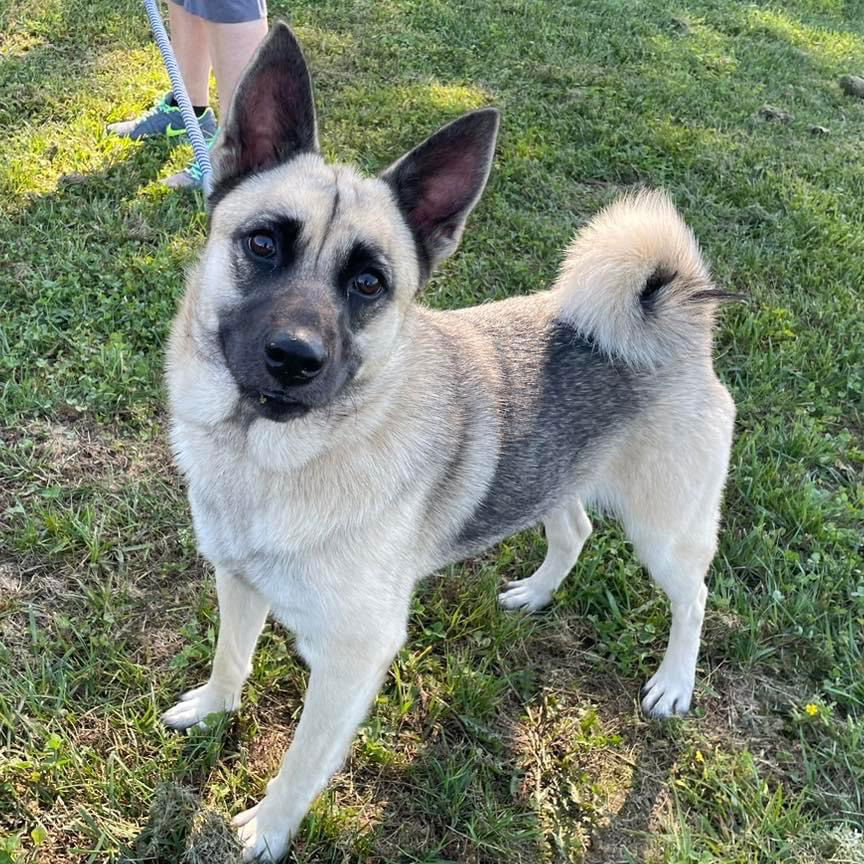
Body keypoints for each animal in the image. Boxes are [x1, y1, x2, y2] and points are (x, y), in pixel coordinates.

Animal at [160, 22, 736, 864]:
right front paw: (211, 709)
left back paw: (675, 683)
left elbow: (300, 763)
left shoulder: (349, 660)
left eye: (369, 284)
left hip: (665, 533)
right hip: (554, 478)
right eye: (262, 244)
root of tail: (679, 318)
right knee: (575, 529)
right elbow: (231, 657)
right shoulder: (238, 583)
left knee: (693, 599)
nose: (295, 357)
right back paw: (536, 592)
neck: (273, 456)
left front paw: (267, 830)